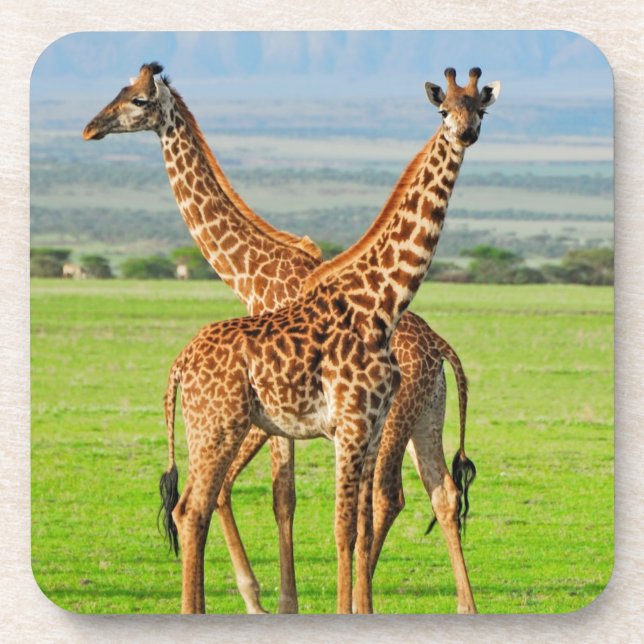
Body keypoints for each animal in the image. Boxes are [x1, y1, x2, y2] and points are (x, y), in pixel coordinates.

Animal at [83, 64, 499, 613]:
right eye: (442, 110)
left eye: (137, 99)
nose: (90, 128)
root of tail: (443, 350)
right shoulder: (315, 424)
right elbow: (294, 504)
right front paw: (283, 602)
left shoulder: (340, 426)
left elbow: (329, 518)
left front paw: (287, 602)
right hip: (407, 420)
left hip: (407, 419)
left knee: (404, 496)